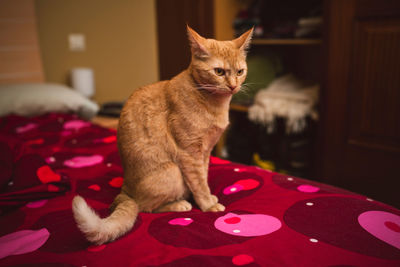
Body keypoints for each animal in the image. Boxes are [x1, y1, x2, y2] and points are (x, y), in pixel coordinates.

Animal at [72, 25, 253, 245]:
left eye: (240, 72)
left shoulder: (205, 153)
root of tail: (125, 190)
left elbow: (203, 178)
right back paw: (179, 204)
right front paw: (208, 205)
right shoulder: (189, 153)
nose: (233, 85)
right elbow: (199, 183)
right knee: (145, 207)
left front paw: (208, 198)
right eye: (219, 71)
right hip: (173, 172)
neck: (214, 103)